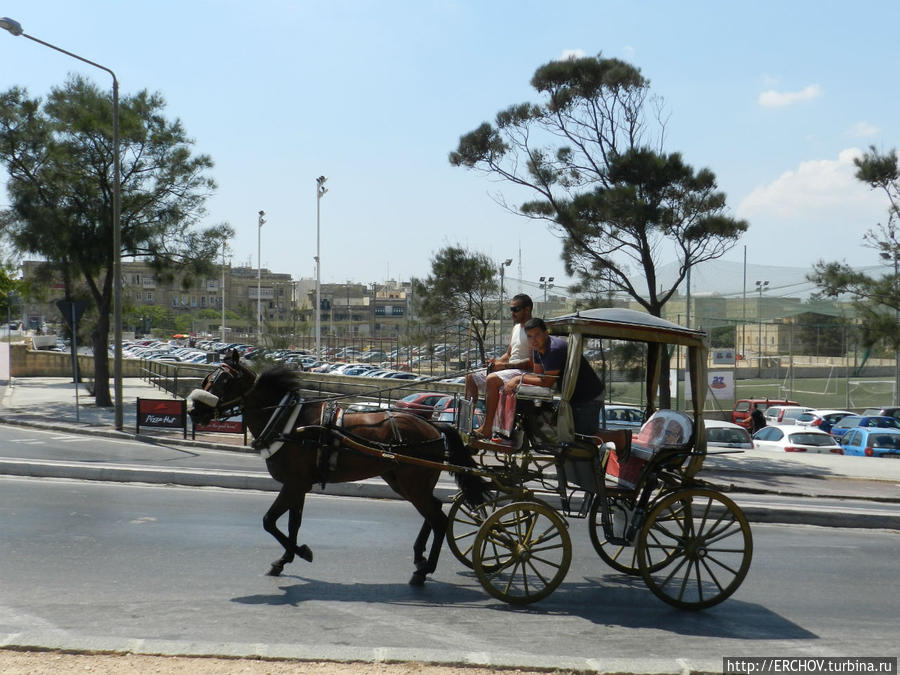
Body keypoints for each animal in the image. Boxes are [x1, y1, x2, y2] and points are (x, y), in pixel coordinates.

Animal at [185, 354, 488, 588]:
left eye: (223, 381)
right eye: (209, 378)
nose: (194, 412)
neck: (288, 422)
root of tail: (434, 427)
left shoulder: (294, 484)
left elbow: (269, 521)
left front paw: (300, 552)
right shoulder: (299, 486)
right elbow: (293, 523)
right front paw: (285, 559)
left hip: (413, 484)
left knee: (439, 519)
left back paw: (424, 571)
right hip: (402, 482)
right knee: (434, 510)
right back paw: (419, 557)